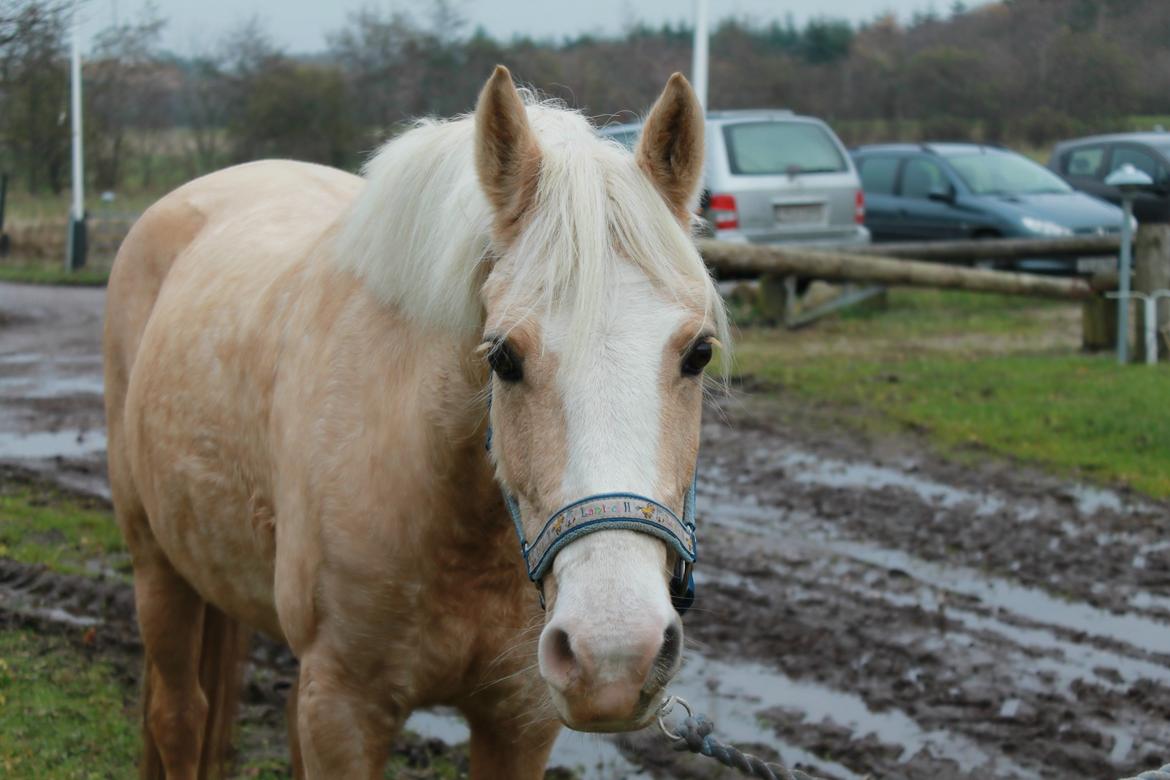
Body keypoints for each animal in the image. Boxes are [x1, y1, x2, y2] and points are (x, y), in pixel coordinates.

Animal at [102, 68, 720, 780]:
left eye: (698, 353)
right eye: (502, 357)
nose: (614, 653)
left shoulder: (520, 720)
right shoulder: (344, 708)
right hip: (157, 566)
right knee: (179, 716)